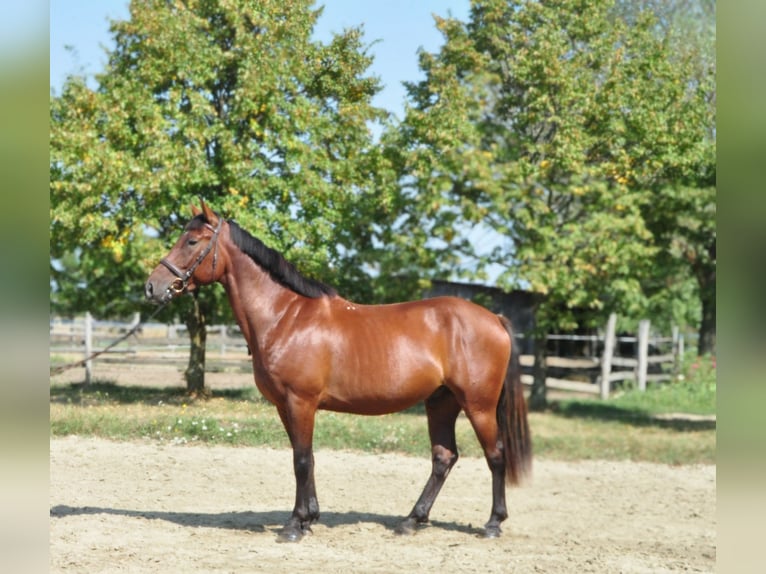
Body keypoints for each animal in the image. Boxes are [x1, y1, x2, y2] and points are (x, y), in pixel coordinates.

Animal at [144, 201, 532, 544]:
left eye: (192, 241)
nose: (152, 286)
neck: (285, 316)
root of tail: (494, 318)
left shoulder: (300, 402)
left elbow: (301, 460)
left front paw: (294, 526)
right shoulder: (285, 406)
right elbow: (306, 458)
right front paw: (309, 518)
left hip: (478, 405)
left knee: (496, 455)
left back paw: (492, 524)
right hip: (441, 402)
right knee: (443, 457)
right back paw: (411, 521)